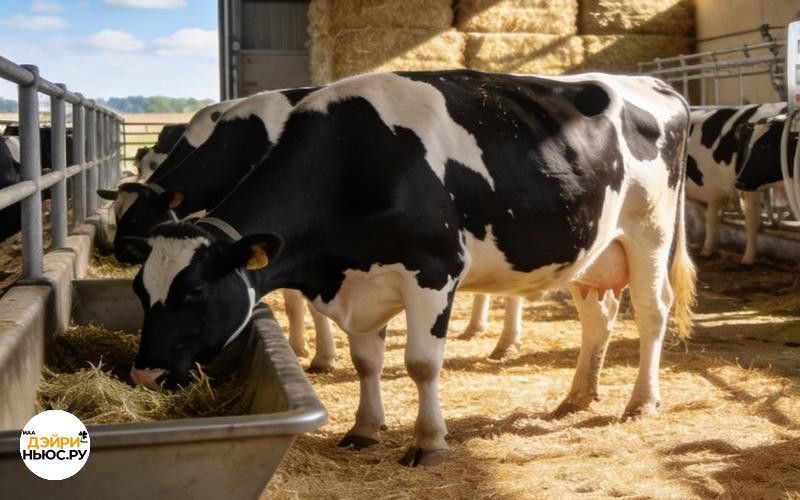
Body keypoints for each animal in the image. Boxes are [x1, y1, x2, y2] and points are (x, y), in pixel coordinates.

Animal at [97, 88, 338, 372]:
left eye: (136, 217)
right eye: (118, 214)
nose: (119, 251)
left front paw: (324, 357)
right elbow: (291, 295)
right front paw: (298, 346)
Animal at [121, 70, 695, 467]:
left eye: (194, 291)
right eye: (139, 291)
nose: (144, 373)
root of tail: (655, 84)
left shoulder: (434, 271)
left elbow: (420, 364)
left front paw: (429, 442)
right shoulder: (356, 278)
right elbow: (366, 362)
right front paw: (364, 428)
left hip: (650, 232)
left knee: (652, 313)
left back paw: (641, 402)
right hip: (592, 249)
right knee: (598, 316)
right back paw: (576, 396)